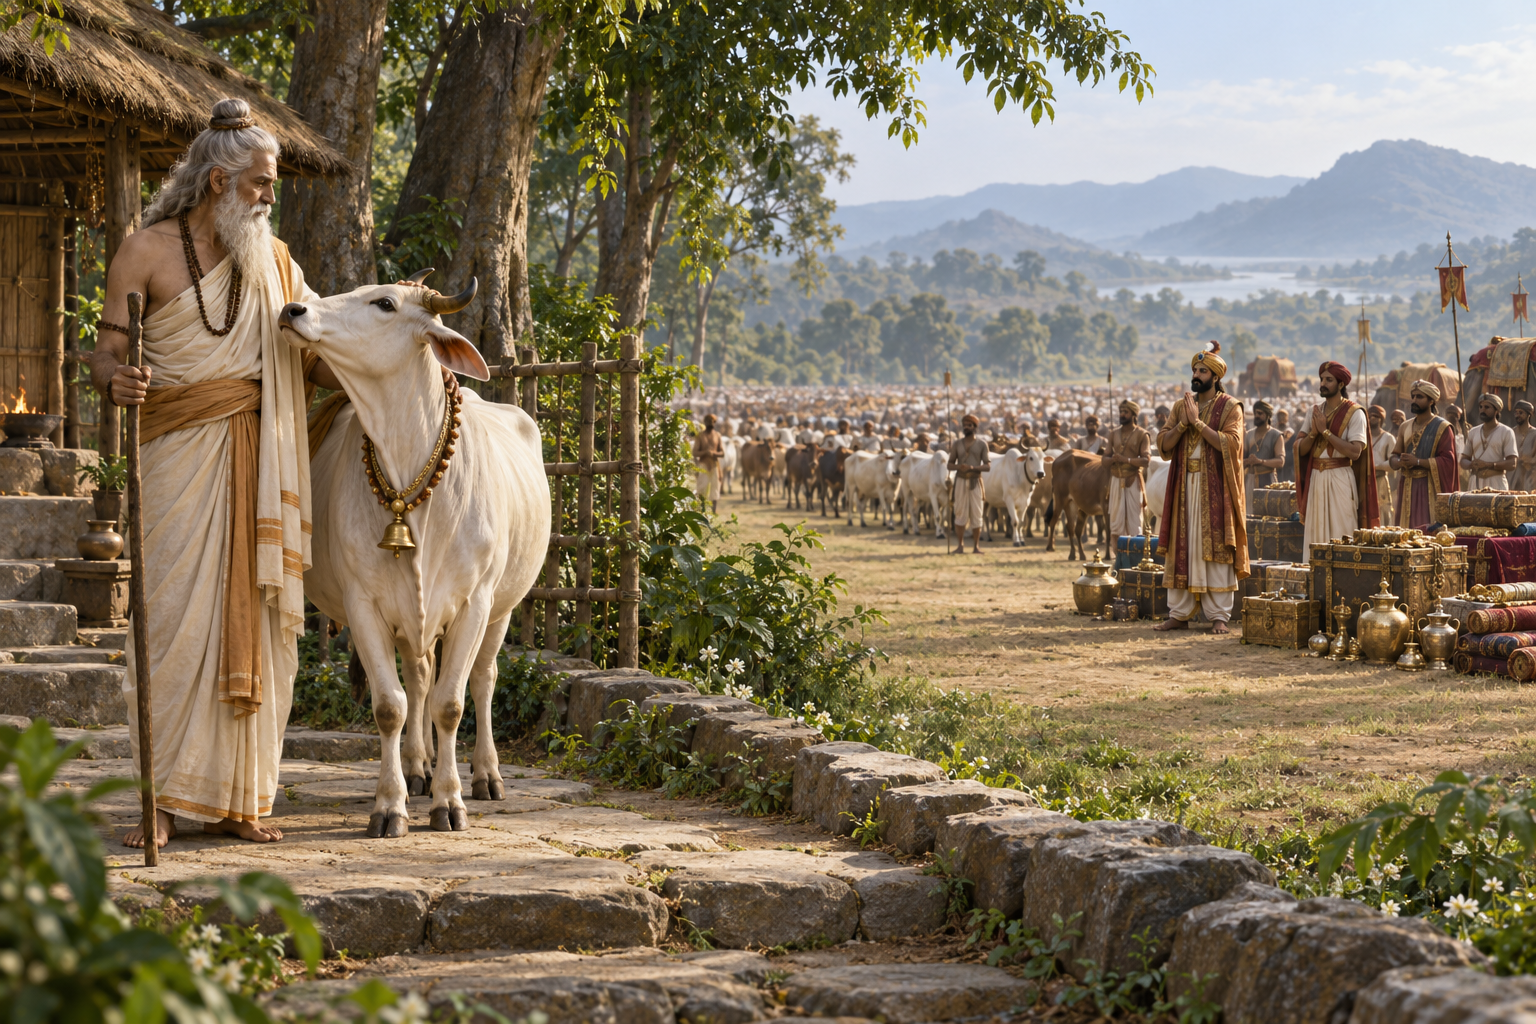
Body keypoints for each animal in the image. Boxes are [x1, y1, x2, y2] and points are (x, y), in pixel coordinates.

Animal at [278, 275, 550, 838]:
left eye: (385, 302)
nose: (293, 310)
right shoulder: (365, 605)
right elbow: (392, 706)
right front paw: (391, 803)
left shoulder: (474, 603)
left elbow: (451, 703)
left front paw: (450, 802)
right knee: (420, 677)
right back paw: (417, 766)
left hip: (503, 608)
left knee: (484, 679)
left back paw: (485, 774)